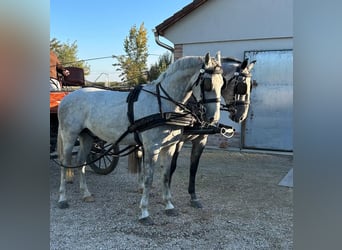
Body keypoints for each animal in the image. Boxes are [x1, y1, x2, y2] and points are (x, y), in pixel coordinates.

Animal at [56, 51, 224, 224]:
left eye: (222, 84)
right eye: (207, 84)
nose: (213, 118)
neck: (163, 105)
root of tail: (67, 97)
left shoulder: (169, 147)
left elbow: (165, 176)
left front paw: (169, 206)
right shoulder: (151, 148)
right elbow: (148, 179)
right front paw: (144, 212)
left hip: (87, 136)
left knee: (81, 161)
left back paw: (86, 194)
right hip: (69, 136)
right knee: (64, 163)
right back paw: (63, 199)